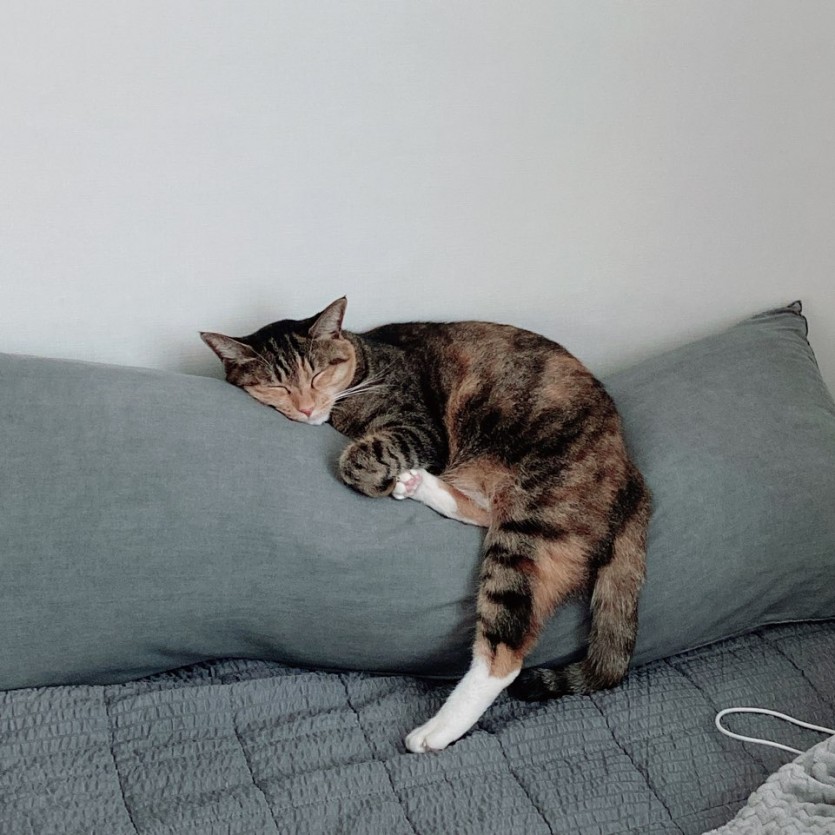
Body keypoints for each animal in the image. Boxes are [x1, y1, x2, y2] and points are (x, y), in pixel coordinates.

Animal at [201, 296, 650, 753]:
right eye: (276, 387)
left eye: (318, 372)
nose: (307, 408)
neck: (362, 365)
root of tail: (630, 473)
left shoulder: (421, 428)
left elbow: (357, 459)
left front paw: (371, 475)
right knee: (485, 513)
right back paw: (417, 483)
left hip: (533, 522)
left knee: (505, 651)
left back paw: (436, 731)